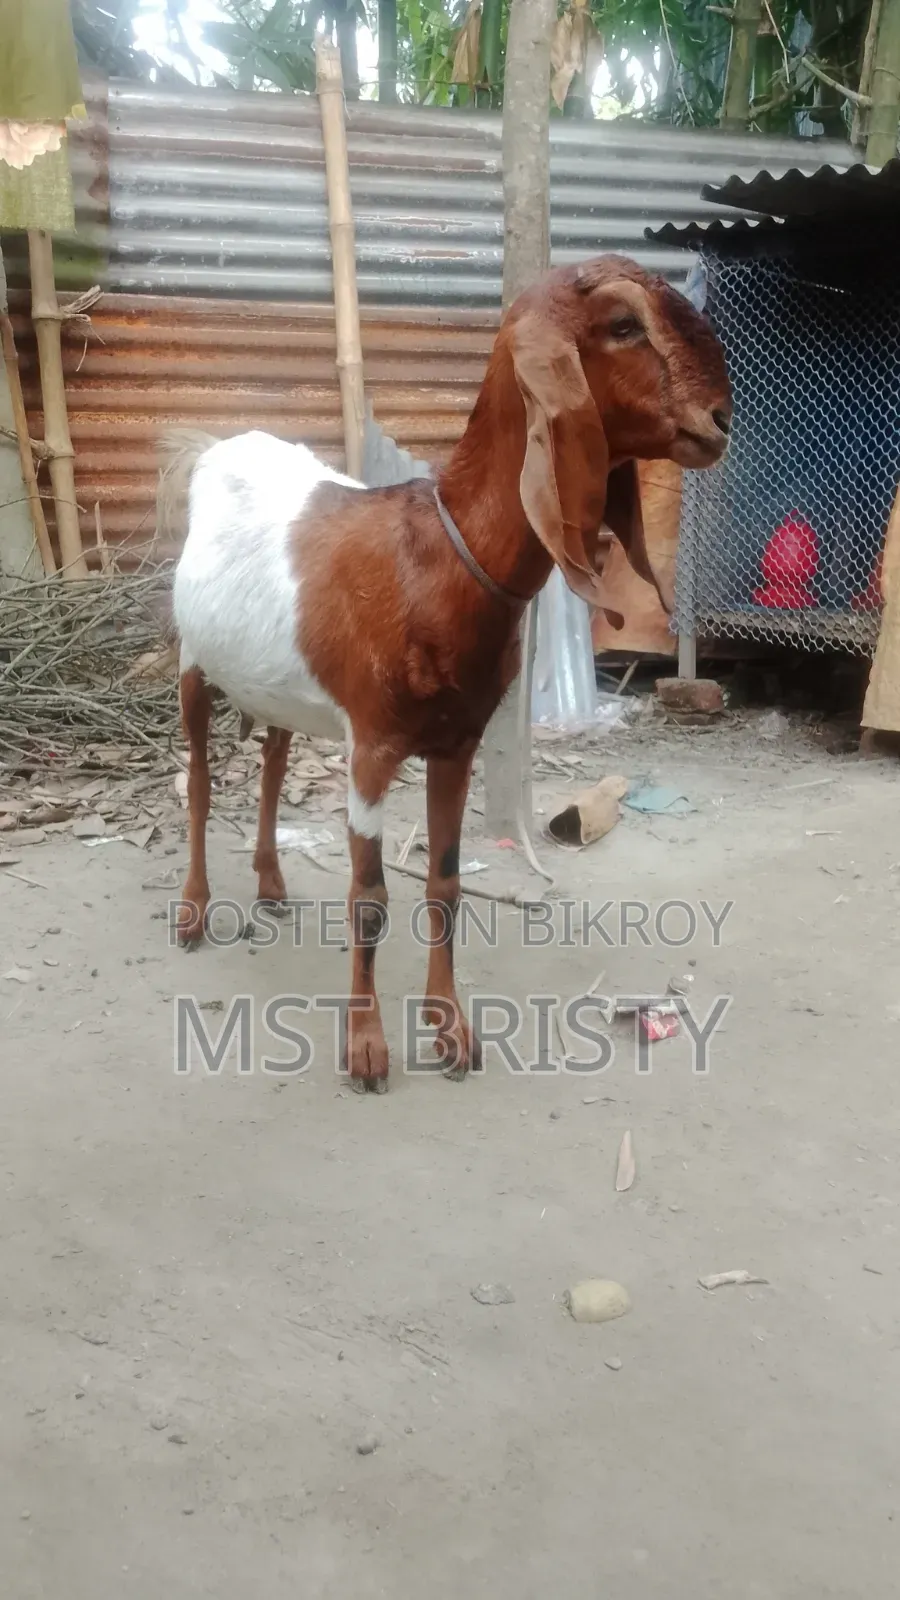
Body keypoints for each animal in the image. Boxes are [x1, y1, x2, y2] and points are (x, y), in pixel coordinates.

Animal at [161, 254, 731, 1093]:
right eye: (625, 325)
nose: (721, 419)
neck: (433, 560)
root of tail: (217, 447)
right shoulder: (371, 749)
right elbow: (369, 895)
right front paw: (366, 1048)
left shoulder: (456, 745)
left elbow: (447, 883)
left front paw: (450, 1026)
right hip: (194, 666)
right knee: (201, 783)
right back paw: (194, 911)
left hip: (278, 684)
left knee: (271, 764)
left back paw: (269, 883)